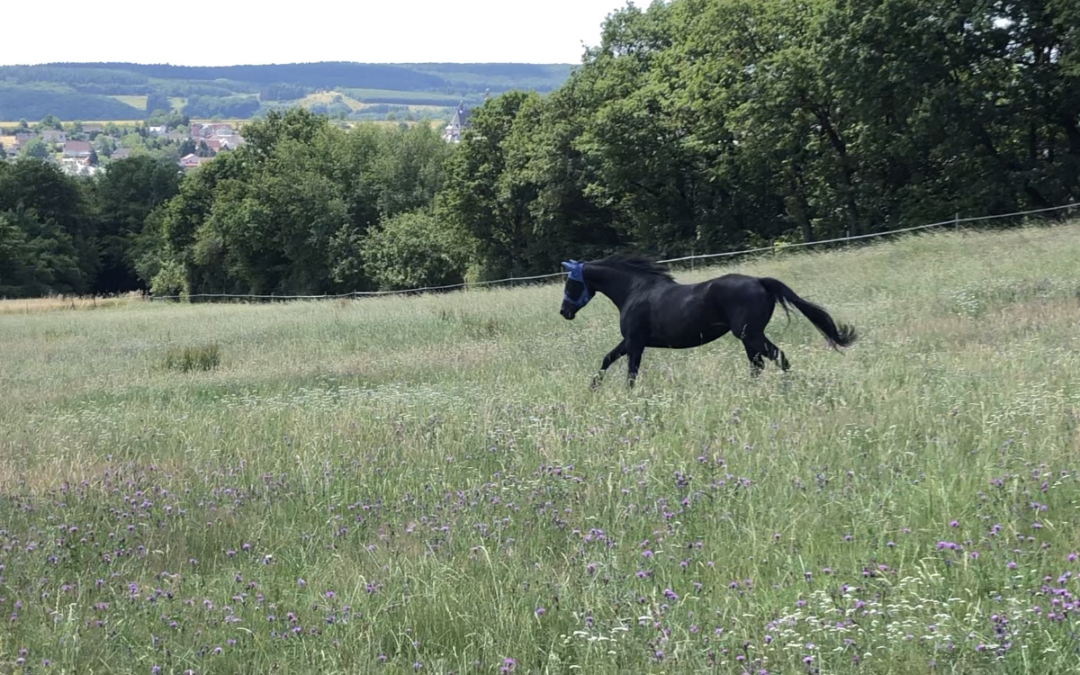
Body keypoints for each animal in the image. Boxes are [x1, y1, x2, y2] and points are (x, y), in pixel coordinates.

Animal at [559, 255, 857, 387]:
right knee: (759, 363)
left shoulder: (635, 342)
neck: (634, 290)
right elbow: (607, 359)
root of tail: (760, 281)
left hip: (750, 335)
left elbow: (630, 372)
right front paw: (593, 387)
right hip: (749, 336)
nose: (564, 312)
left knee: (776, 357)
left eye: (570, 284)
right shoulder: (630, 341)